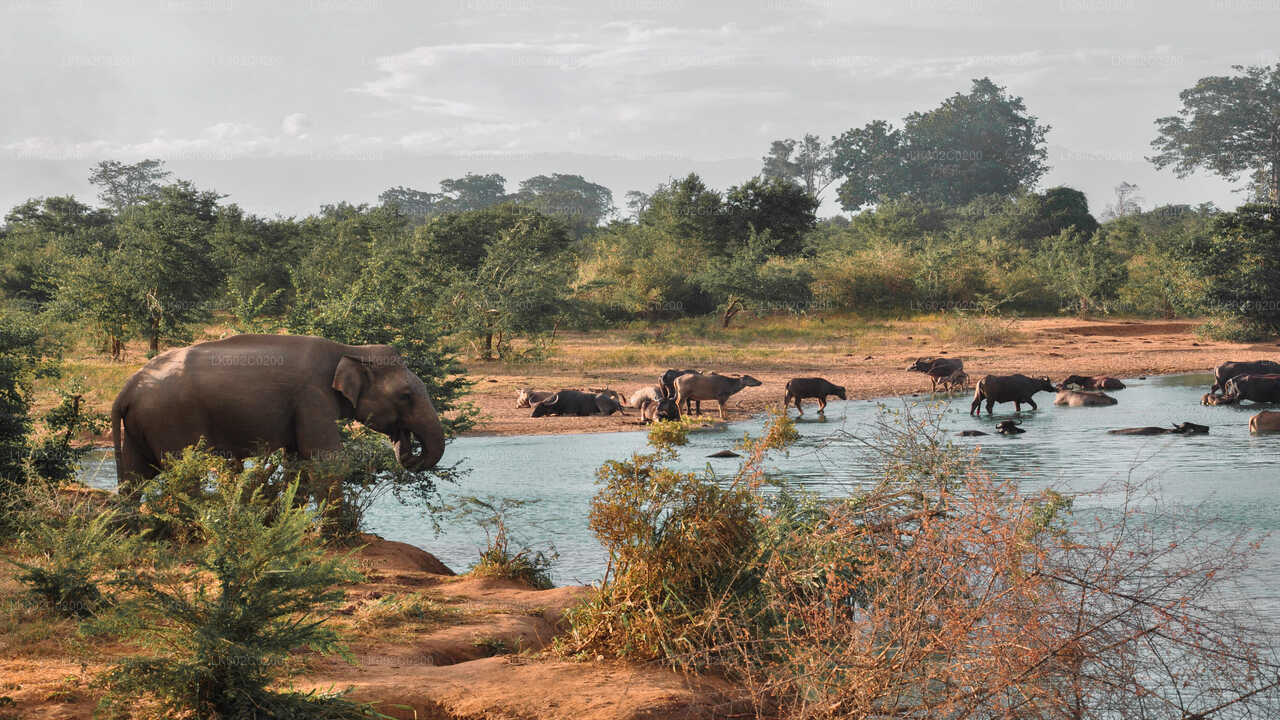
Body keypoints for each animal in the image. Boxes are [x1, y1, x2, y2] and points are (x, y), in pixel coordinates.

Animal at [115, 333, 445, 497]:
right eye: (406, 395)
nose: (409, 453)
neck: (349, 348)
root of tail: (128, 387)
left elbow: (297, 462)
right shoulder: (312, 396)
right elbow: (326, 459)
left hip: (140, 426)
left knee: (135, 476)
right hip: (170, 420)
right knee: (183, 472)